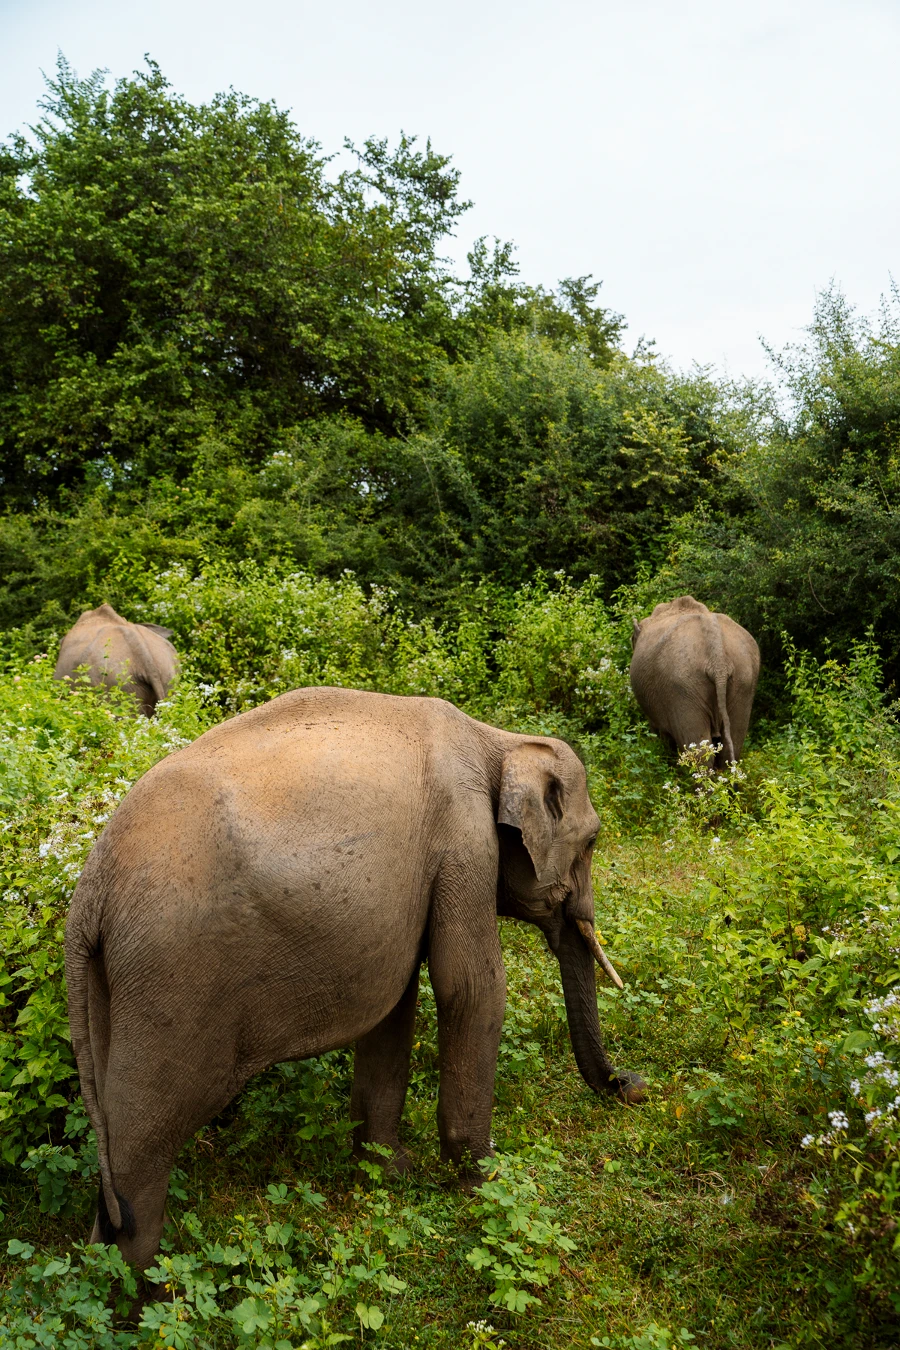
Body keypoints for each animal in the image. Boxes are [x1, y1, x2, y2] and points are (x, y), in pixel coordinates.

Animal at [65, 685, 645, 1270]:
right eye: (592, 842)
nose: (633, 1086)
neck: (496, 739)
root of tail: (90, 892)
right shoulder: (464, 843)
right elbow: (470, 988)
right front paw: (482, 1186)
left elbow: (395, 1005)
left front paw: (390, 1173)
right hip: (172, 977)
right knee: (143, 1143)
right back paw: (140, 1290)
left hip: (113, 981)